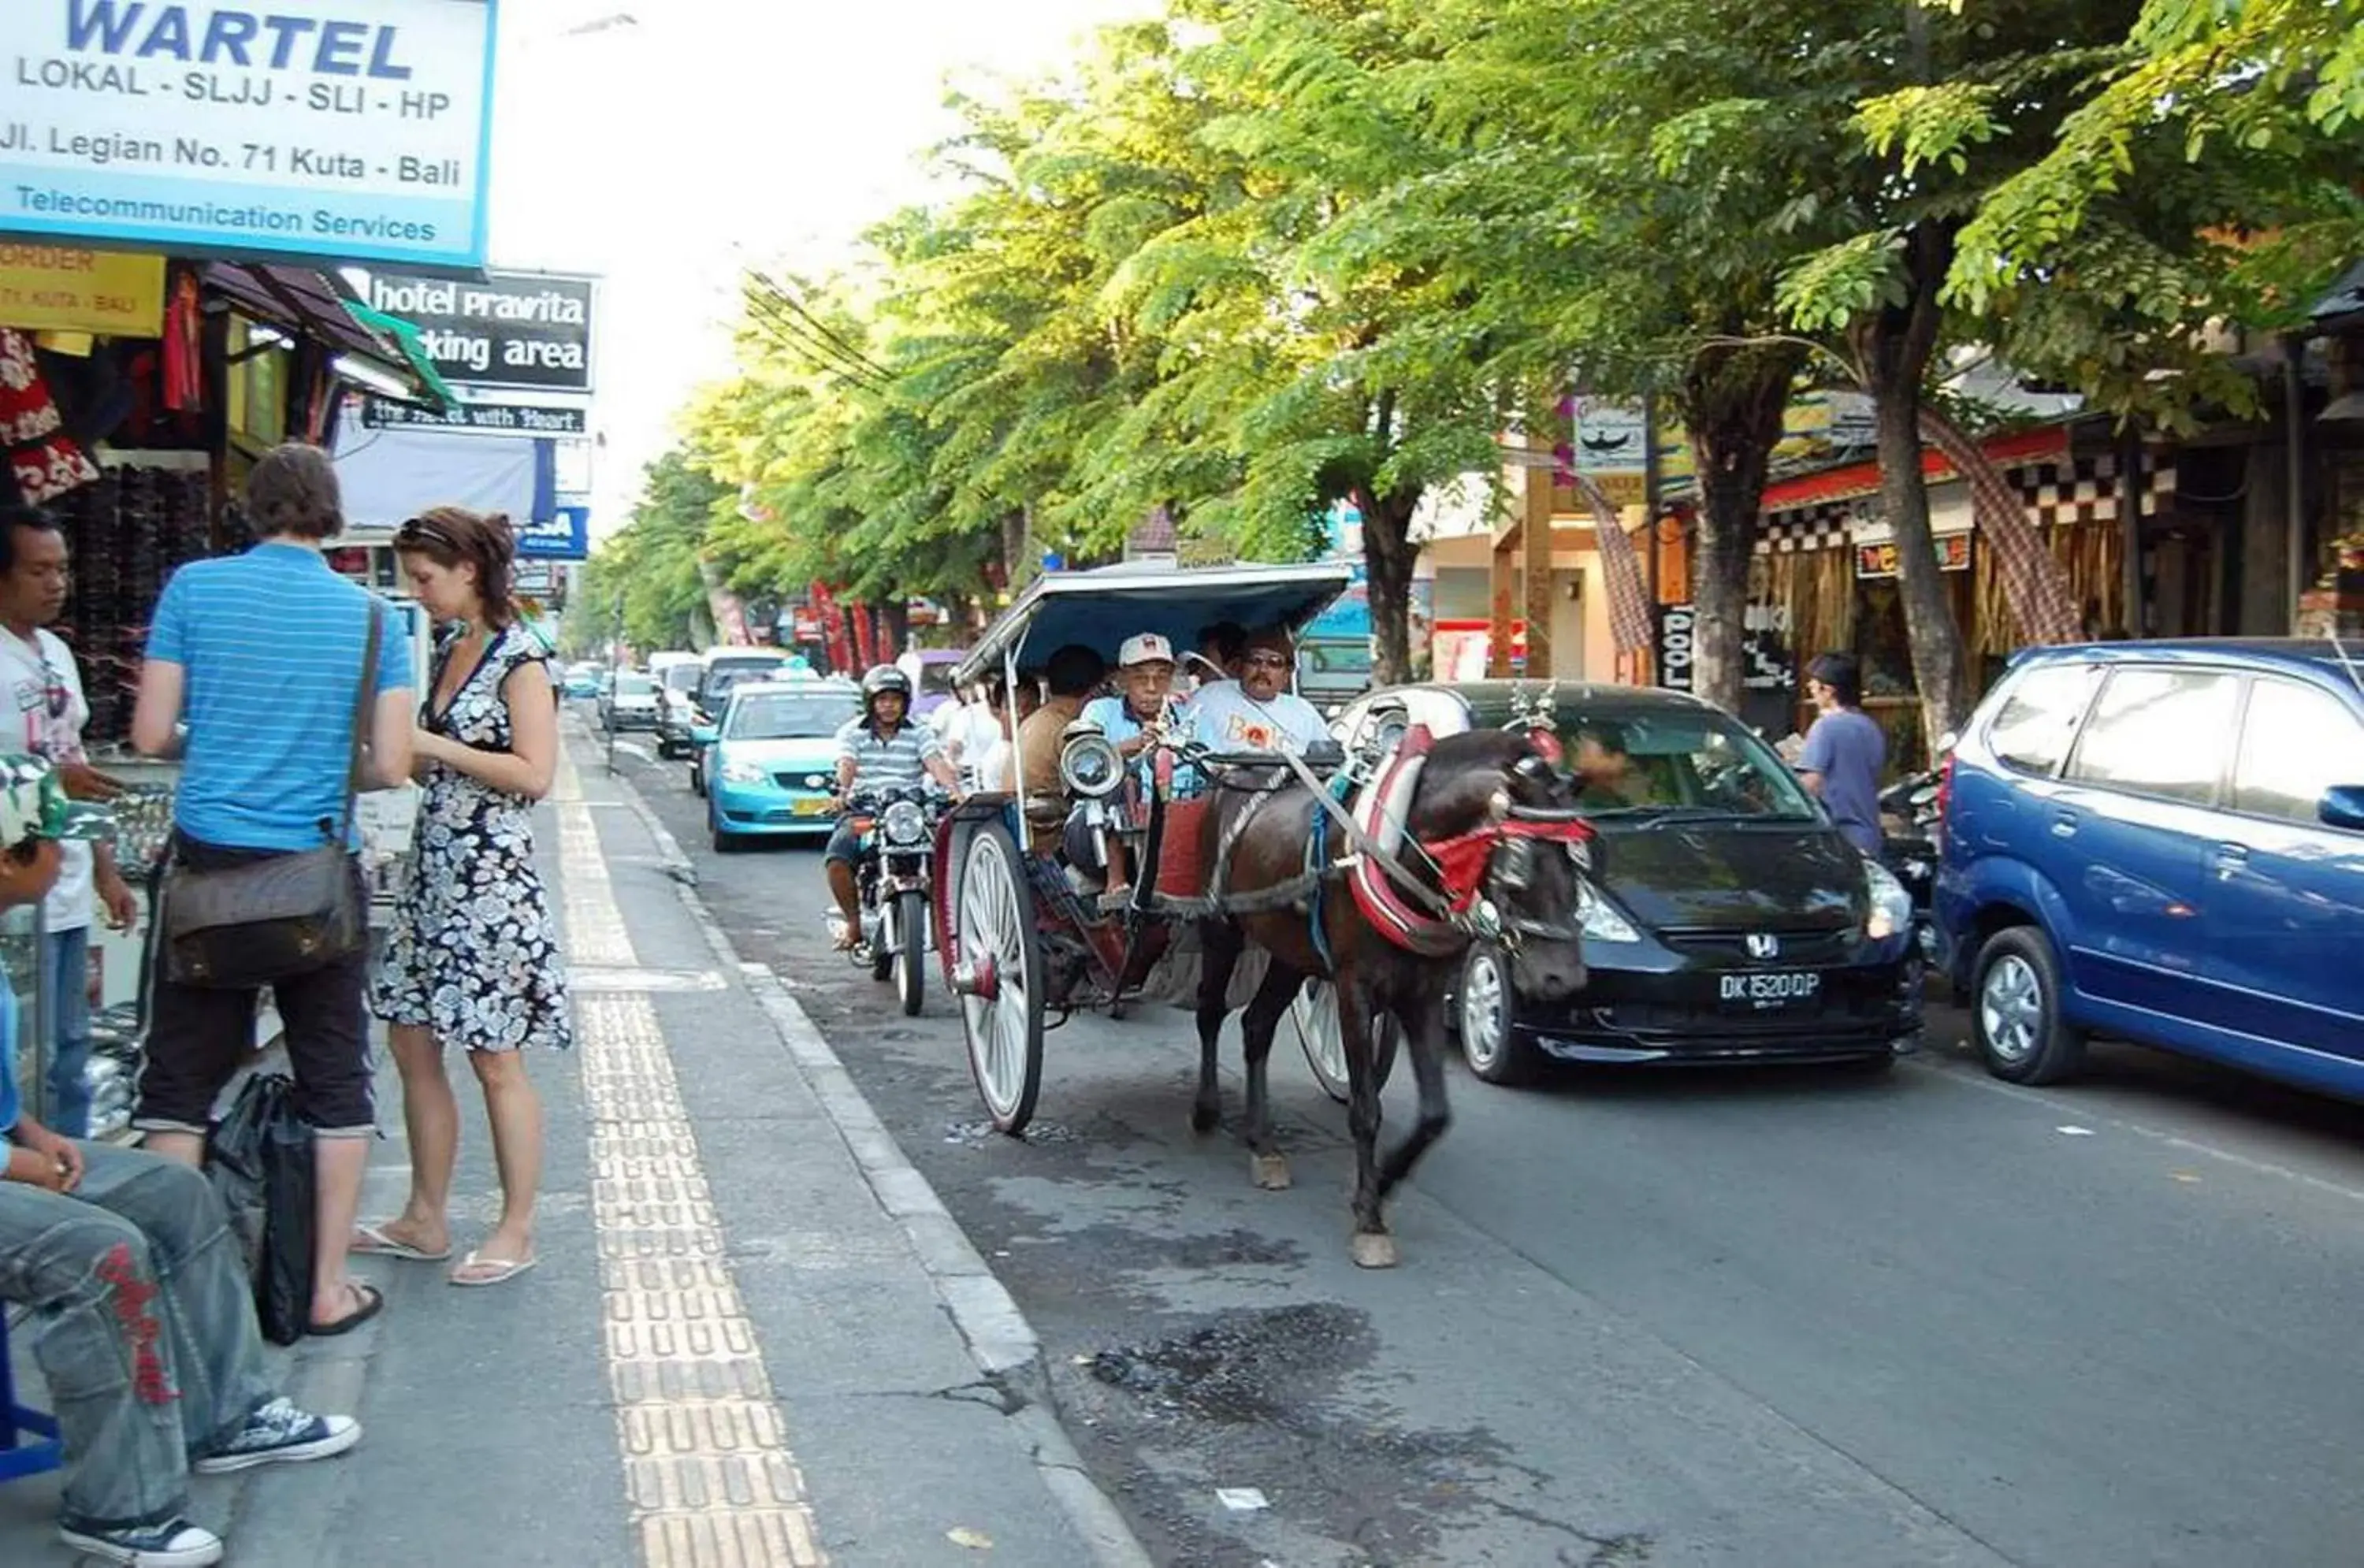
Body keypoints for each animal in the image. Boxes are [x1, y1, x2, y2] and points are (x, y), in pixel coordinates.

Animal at [1182, 733, 1589, 1267]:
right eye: (1519, 865)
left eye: (1582, 862)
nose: (1563, 978)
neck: (1400, 856)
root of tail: (1231, 775)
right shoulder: (1354, 990)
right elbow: (1365, 1109)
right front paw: (1370, 1220)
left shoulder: (1424, 994)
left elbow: (1436, 1115)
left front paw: (1386, 1179)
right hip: (1222, 926)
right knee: (1211, 1013)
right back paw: (1206, 1111)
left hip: (1292, 953)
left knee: (1257, 1026)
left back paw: (1263, 1143)